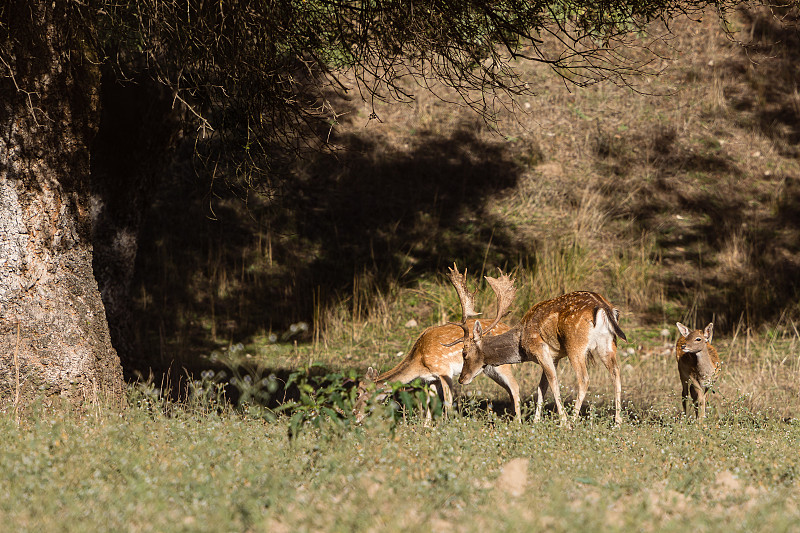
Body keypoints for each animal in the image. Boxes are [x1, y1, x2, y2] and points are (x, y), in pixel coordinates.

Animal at [354, 318, 520, 422]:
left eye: (359, 393)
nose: (354, 414)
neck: (420, 361)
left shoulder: (444, 370)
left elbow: (448, 401)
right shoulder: (431, 379)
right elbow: (429, 401)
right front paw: (427, 427)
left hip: (502, 365)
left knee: (514, 386)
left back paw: (517, 423)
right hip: (489, 370)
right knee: (509, 389)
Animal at [446, 262, 628, 424]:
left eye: (464, 353)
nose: (461, 379)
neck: (521, 343)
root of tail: (604, 307)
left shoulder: (540, 349)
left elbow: (553, 383)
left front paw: (563, 421)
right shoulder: (554, 356)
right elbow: (541, 387)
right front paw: (535, 421)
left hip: (575, 344)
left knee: (584, 379)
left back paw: (573, 420)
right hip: (608, 343)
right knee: (616, 373)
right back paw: (617, 421)